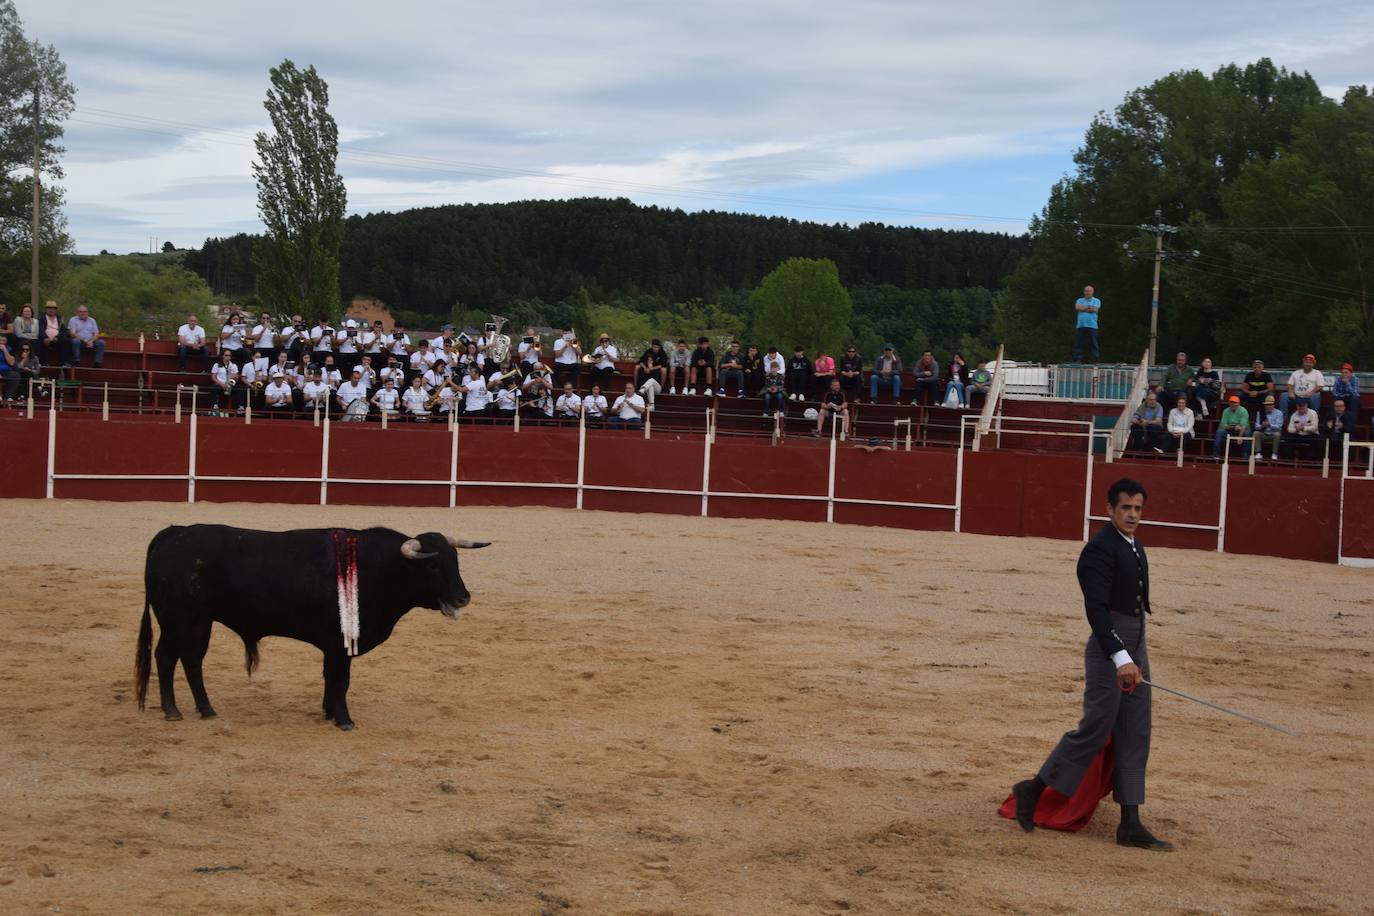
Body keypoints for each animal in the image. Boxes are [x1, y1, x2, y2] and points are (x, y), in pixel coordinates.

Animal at [135, 530, 489, 730]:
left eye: (456, 560)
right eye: (432, 565)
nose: (463, 597)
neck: (379, 566)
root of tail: (169, 535)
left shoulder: (334, 646)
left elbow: (331, 679)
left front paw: (328, 712)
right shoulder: (340, 642)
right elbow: (341, 680)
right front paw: (344, 720)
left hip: (200, 622)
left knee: (192, 661)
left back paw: (207, 710)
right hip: (177, 620)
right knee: (165, 657)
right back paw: (172, 711)